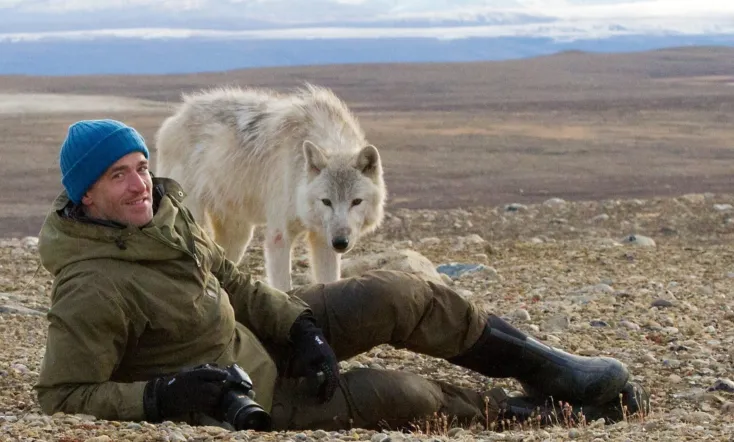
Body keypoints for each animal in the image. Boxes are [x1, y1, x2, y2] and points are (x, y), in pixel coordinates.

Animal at [153, 83, 387, 292]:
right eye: (326, 201)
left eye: (356, 201)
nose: (340, 242)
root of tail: (175, 117)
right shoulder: (279, 236)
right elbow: (283, 288)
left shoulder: (322, 239)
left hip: (238, 235)